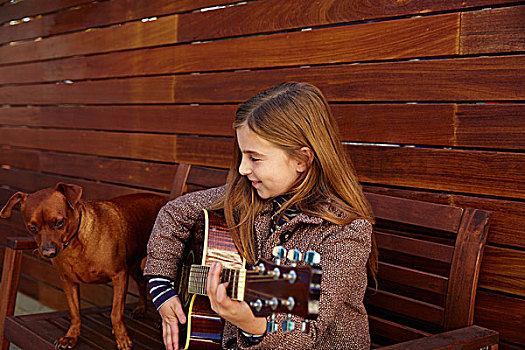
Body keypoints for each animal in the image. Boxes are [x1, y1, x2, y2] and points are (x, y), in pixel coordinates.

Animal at [0, 185, 167, 348]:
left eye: (59, 222)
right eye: (32, 228)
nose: (48, 253)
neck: (75, 246)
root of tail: (165, 199)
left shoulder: (119, 276)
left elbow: (115, 313)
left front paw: (122, 338)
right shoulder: (68, 283)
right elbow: (75, 313)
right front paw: (71, 336)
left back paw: (160, 320)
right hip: (132, 265)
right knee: (142, 282)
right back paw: (141, 308)